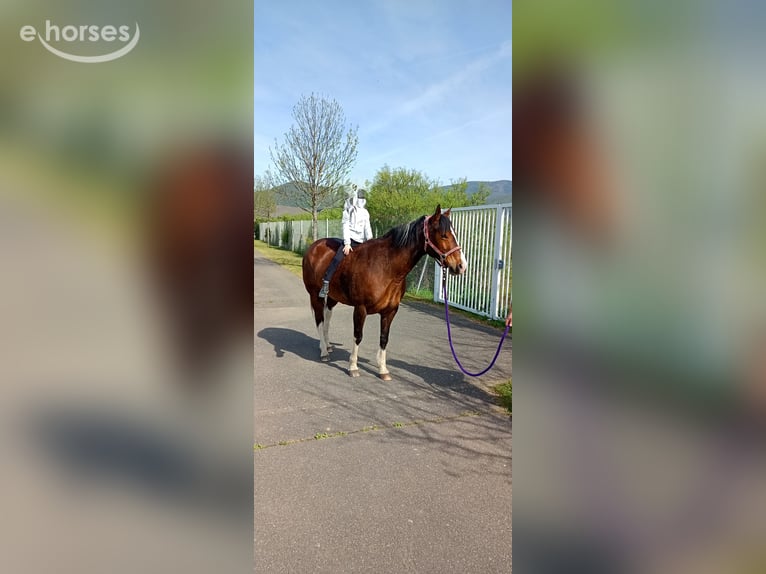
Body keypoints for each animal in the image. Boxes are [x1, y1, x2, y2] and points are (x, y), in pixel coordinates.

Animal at [302, 205, 467, 380]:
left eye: (454, 233)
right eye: (443, 235)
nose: (461, 266)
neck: (386, 267)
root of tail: (313, 247)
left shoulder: (390, 311)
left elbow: (384, 338)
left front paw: (383, 369)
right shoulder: (360, 308)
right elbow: (358, 336)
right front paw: (353, 367)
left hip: (333, 297)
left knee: (327, 319)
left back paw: (327, 345)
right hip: (315, 296)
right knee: (319, 320)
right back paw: (324, 352)